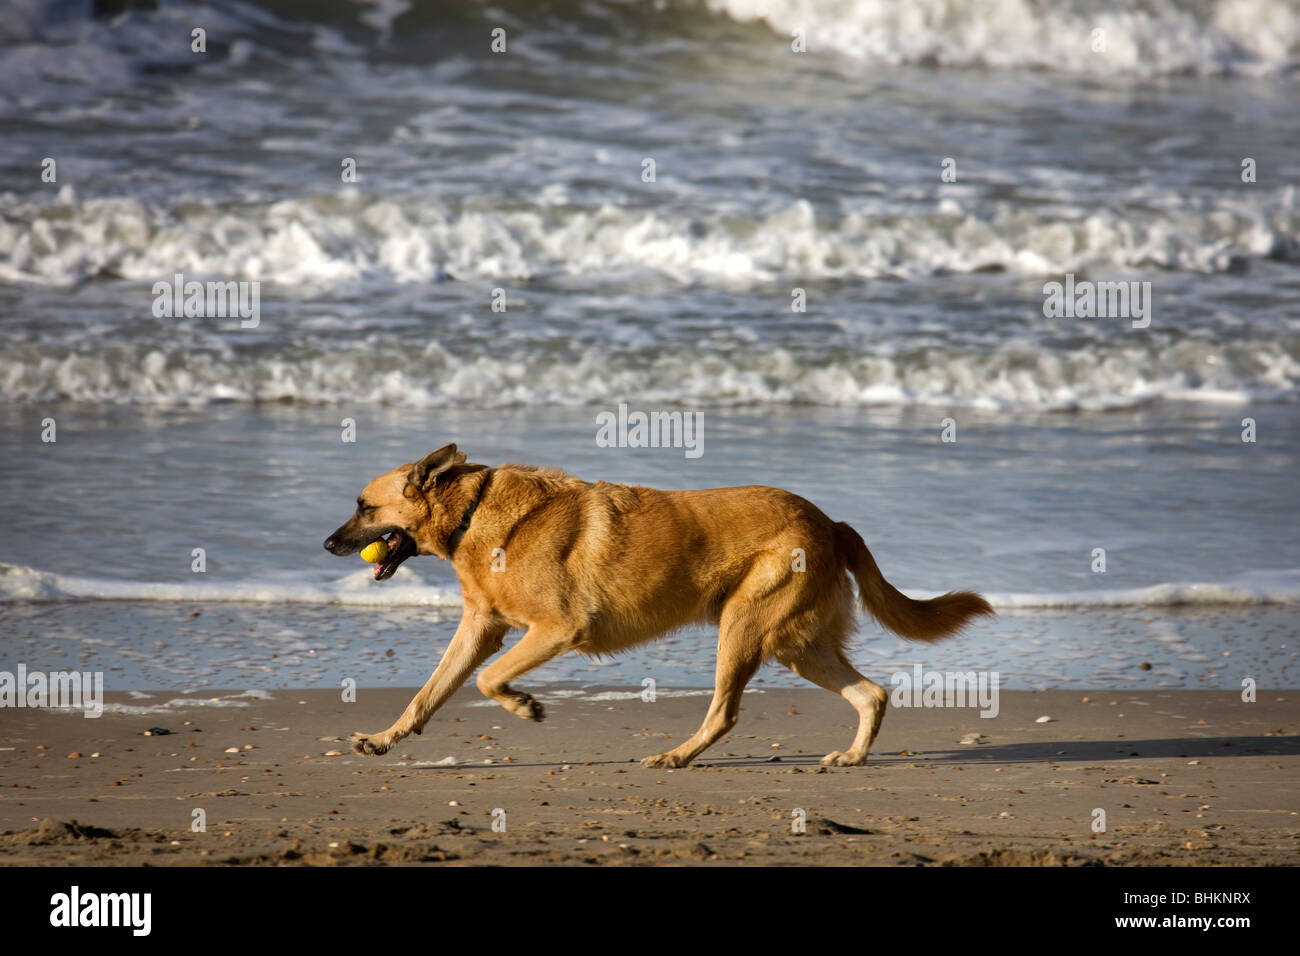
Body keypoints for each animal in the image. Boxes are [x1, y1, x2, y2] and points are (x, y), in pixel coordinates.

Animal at [325, 444, 993, 764]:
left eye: (363, 506)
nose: (329, 544)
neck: (474, 513)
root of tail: (832, 523)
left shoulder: (557, 629)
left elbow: (490, 680)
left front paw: (523, 706)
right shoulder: (479, 630)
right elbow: (428, 694)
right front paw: (384, 739)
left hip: (743, 630)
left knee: (725, 714)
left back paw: (676, 756)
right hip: (797, 647)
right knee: (871, 694)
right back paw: (852, 757)